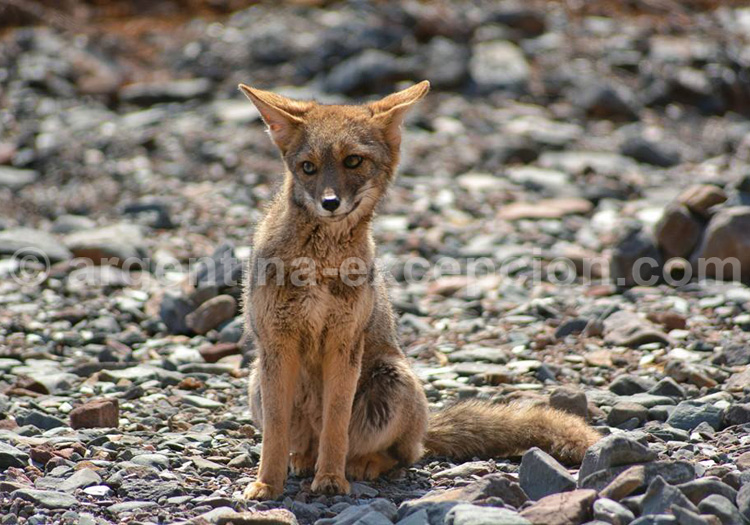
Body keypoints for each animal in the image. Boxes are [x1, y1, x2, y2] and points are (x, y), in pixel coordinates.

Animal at [238, 80, 601, 500]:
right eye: (307, 168)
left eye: (353, 161)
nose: (330, 203)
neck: (318, 263)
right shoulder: (277, 343)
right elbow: (275, 435)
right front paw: (266, 484)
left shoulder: (344, 343)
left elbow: (336, 426)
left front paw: (330, 480)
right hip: (258, 382)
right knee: (308, 445)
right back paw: (303, 461)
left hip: (391, 379)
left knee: (399, 454)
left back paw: (359, 466)